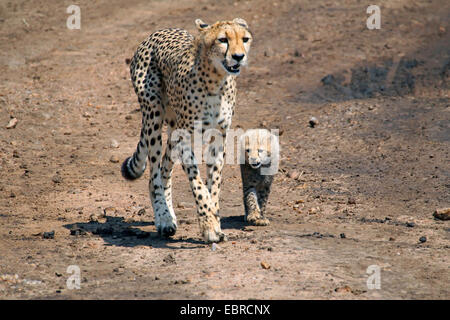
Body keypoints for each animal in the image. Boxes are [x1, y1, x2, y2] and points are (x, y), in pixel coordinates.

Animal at [120, 18, 253, 242]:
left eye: (245, 39)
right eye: (223, 40)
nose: (238, 56)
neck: (216, 82)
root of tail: (158, 31)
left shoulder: (219, 137)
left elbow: (214, 183)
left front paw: (214, 220)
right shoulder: (185, 139)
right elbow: (198, 185)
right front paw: (209, 223)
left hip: (173, 127)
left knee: (164, 169)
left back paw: (169, 215)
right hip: (154, 116)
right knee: (154, 174)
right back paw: (164, 219)